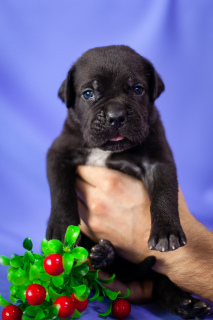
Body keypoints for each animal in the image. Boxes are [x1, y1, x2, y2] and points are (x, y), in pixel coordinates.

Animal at [47, 45, 210, 318]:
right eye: (88, 94)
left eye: (137, 90)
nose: (116, 116)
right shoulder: (59, 154)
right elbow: (61, 192)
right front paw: (62, 227)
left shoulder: (159, 162)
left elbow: (164, 195)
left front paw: (166, 233)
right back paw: (104, 255)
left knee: (161, 283)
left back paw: (187, 303)